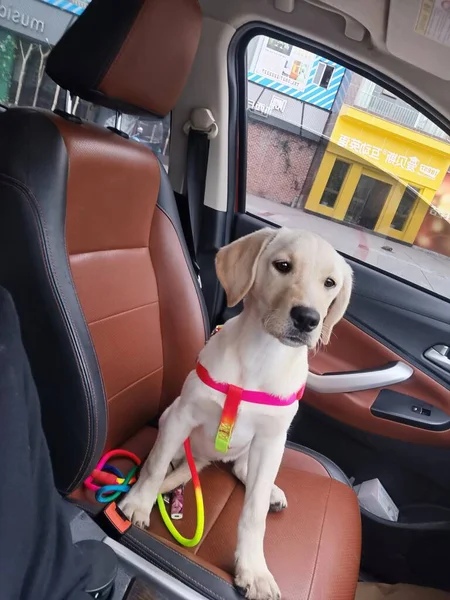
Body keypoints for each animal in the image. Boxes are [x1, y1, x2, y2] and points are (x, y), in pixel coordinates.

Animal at [121, 227, 354, 596]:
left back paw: (269, 491)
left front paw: (254, 569)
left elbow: (254, 513)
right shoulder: (183, 415)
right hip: (171, 416)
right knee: (165, 457)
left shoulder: (272, 440)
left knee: (246, 471)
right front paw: (139, 503)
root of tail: (206, 458)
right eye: (282, 265)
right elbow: (155, 466)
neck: (261, 355)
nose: (308, 319)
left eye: (330, 283)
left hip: (263, 450)